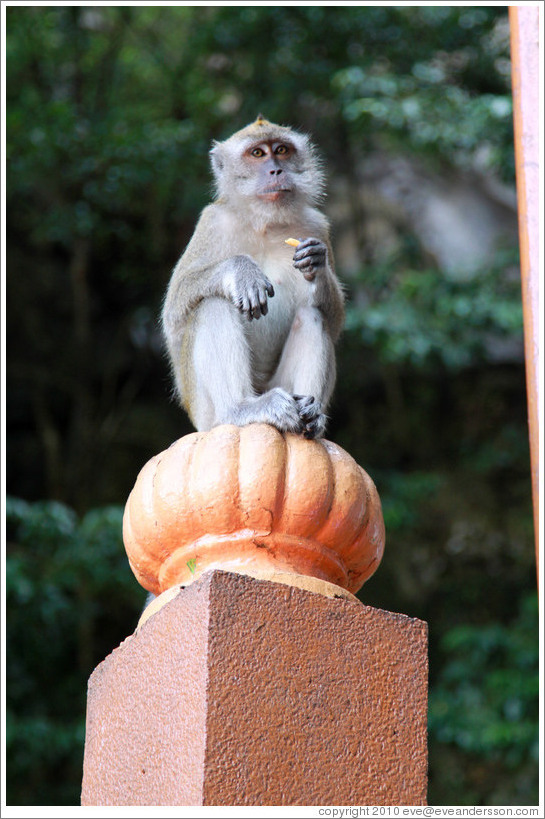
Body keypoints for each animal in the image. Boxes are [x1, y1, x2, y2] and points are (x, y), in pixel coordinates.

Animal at [162, 113, 344, 442]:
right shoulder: (212, 222)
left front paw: (316, 262)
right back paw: (242, 408)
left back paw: (311, 416)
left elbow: (333, 321)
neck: (265, 224)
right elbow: (174, 314)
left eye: (282, 150)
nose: (276, 169)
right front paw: (241, 271)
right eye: (257, 153)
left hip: (280, 385)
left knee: (312, 315)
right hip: (206, 417)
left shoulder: (317, 225)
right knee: (212, 304)